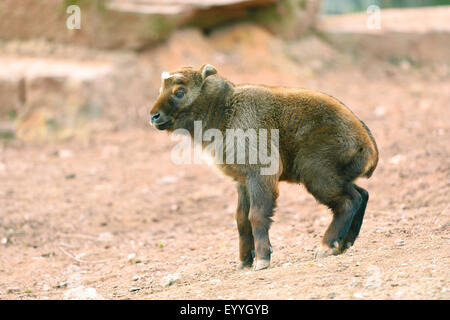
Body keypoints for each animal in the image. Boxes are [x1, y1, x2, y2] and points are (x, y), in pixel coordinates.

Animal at [149, 64, 378, 270]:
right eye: (161, 89)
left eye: (180, 91)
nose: (154, 116)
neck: (225, 109)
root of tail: (368, 145)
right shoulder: (242, 182)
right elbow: (241, 220)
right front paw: (244, 262)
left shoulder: (259, 175)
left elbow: (256, 216)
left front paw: (261, 260)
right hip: (335, 179)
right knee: (362, 195)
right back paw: (343, 245)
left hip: (318, 176)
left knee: (349, 201)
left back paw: (326, 247)